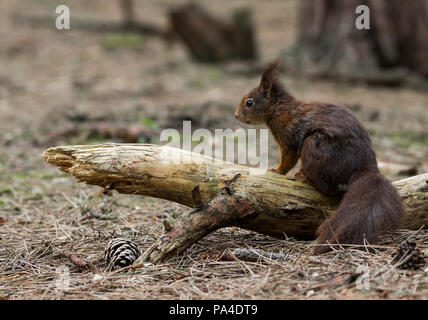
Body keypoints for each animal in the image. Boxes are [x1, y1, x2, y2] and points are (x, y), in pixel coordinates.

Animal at [234, 61, 404, 254]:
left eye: (249, 102)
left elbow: (288, 158)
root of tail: (363, 164)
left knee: (328, 188)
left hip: (314, 145)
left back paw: (305, 177)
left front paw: (276, 171)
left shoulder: (288, 137)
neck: (279, 109)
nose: (236, 115)